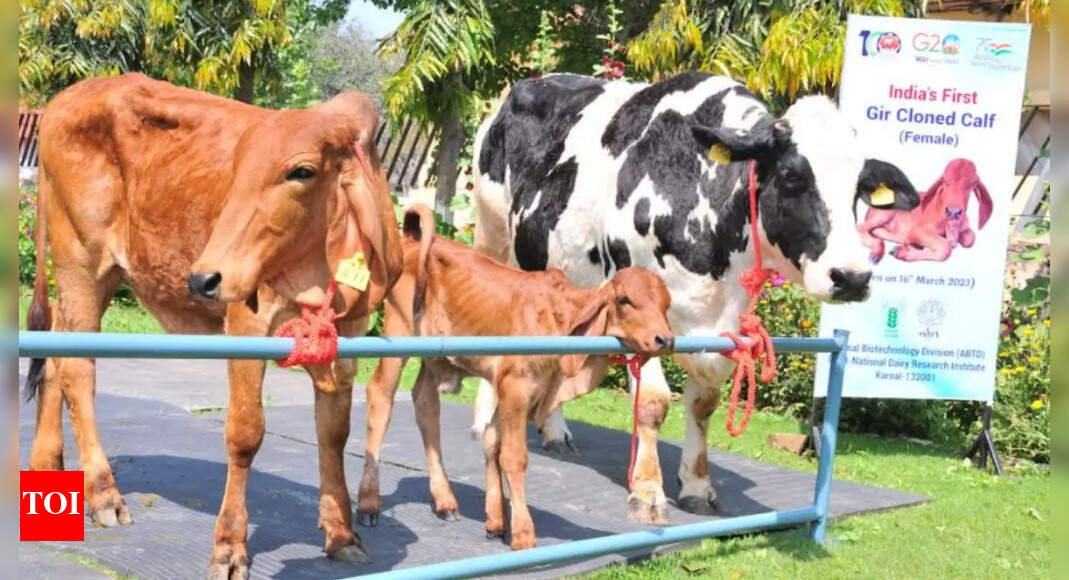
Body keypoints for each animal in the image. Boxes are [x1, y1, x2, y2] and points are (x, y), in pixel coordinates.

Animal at [24, 73, 408, 577]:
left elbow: (334, 433)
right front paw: (230, 547)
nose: (205, 278)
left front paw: (341, 532)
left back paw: (46, 469)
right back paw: (103, 493)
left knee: (54, 360)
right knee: (77, 371)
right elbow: (245, 433)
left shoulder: (346, 341)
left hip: (104, 276)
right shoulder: (247, 324)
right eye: (238, 167)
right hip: (79, 265)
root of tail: (64, 99)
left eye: (302, 171)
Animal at [355, 204, 674, 547]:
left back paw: (445, 500)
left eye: (666, 305)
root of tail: (416, 240)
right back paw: (368, 503)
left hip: (434, 358)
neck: (557, 319)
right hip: (398, 334)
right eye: (624, 300)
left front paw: (496, 522)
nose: (665, 339)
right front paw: (523, 533)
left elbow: (492, 443)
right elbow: (512, 456)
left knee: (426, 404)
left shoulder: (514, 389)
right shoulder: (515, 388)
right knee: (381, 396)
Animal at [469, 72, 917, 522]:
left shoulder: (723, 327)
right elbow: (652, 403)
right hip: (491, 236)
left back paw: (555, 430)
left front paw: (698, 486)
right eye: (792, 175)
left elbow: (703, 404)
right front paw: (647, 491)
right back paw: (484, 420)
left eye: (859, 189)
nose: (852, 276)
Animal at [858, 158, 989, 263]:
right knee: (861, 227)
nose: (953, 211)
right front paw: (902, 252)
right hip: (884, 215)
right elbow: (945, 247)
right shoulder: (917, 230)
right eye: (944, 180)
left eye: (973, 183)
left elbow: (970, 238)